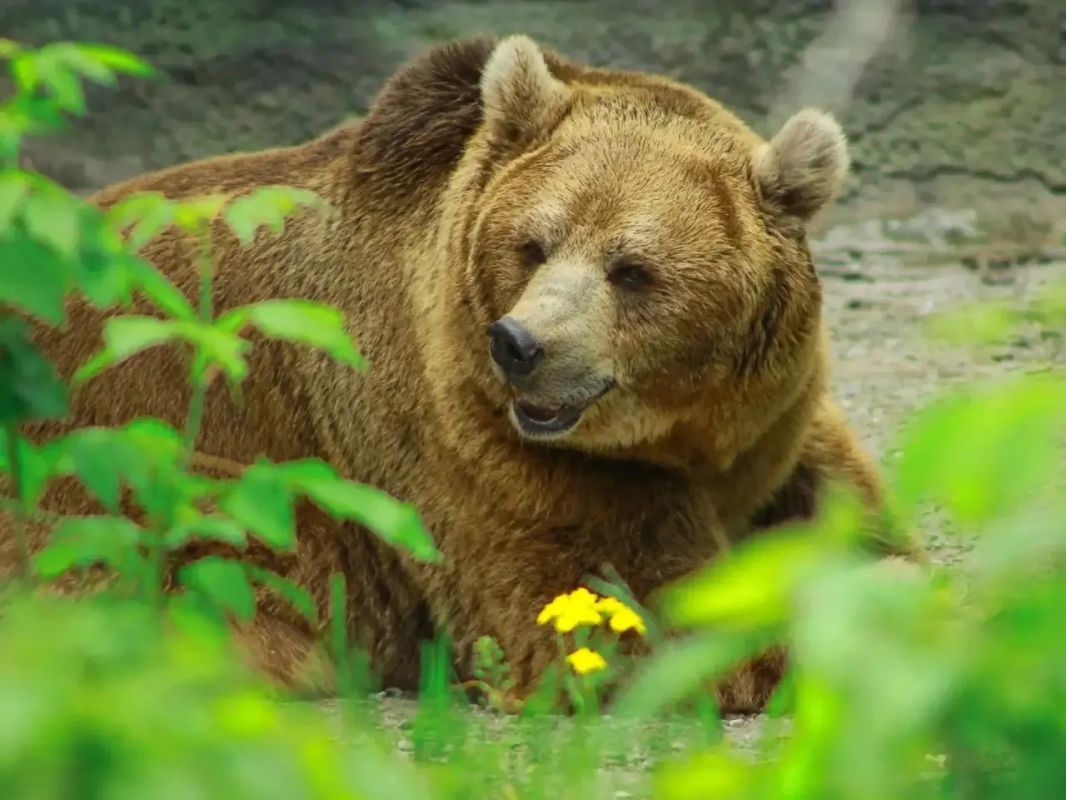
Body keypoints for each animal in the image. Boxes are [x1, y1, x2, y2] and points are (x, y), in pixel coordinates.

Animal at [1, 35, 915, 712]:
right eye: (534, 244)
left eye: (632, 269)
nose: (520, 343)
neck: (681, 433)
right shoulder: (471, 440)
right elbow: (615, 607)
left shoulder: (778, 426)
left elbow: (858, 520)